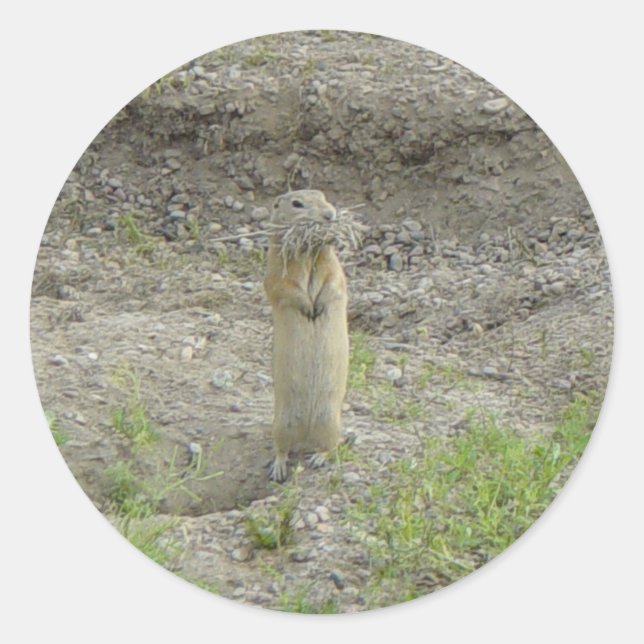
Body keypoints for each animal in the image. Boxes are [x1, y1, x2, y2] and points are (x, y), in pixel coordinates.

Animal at [263, 190, 349, 482]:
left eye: (324, 196)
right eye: (296, 203)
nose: (330, 215)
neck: (310, 252)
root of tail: (306, 435)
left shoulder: (333, 266)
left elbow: (334, 283)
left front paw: (318, 307)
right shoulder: (277, 269)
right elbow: (285, 289)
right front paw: (308, 308)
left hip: (331, 421)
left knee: (331, 445)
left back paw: (318, 459)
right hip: (281, 423)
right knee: (281, 448)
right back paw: (278, 469)